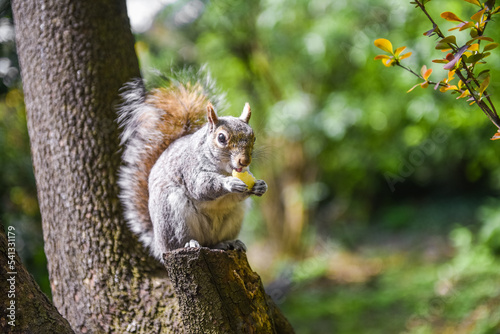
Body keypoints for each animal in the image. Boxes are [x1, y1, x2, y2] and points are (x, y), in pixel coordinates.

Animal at [117, 72, 268, 260]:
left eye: (253, 137)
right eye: (221, 138)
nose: (244, 161)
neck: (223, 168)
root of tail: (159, 245)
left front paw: (260, 185)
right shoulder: (189, 167)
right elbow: (200, 186)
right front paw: (228, 183)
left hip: (233, 217)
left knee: (213, 243)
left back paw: (228, 243)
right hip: (173, 215)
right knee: (181, 241)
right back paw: (190, 243)